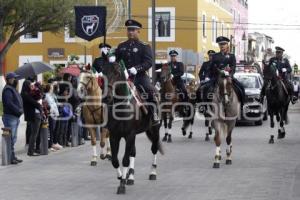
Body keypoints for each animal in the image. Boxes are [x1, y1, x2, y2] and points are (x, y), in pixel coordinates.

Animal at [101, 60, 164, 194]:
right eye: (103, 72)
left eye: (117, 73)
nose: (106, 97)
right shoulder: (115, 136)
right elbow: (115, 160)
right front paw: (121, 177)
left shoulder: (129, 135)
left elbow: (125, 159)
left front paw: (121, 185)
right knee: (133, 153)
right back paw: (130, 177)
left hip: (155, 129)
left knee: (154, 149)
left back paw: (152, 172)